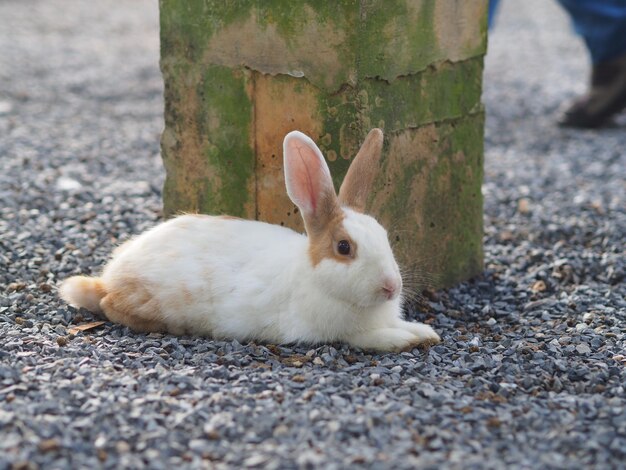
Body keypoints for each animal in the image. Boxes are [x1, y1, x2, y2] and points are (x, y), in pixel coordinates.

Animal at [58, 126, 438, 350]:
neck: (313, 276)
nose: (391, 287)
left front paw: (424, 331)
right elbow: (377, 337)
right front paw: (411, 338)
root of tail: (109, 278)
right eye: (344, 247)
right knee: (109, 306)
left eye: (385, 236)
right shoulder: (343, 333)